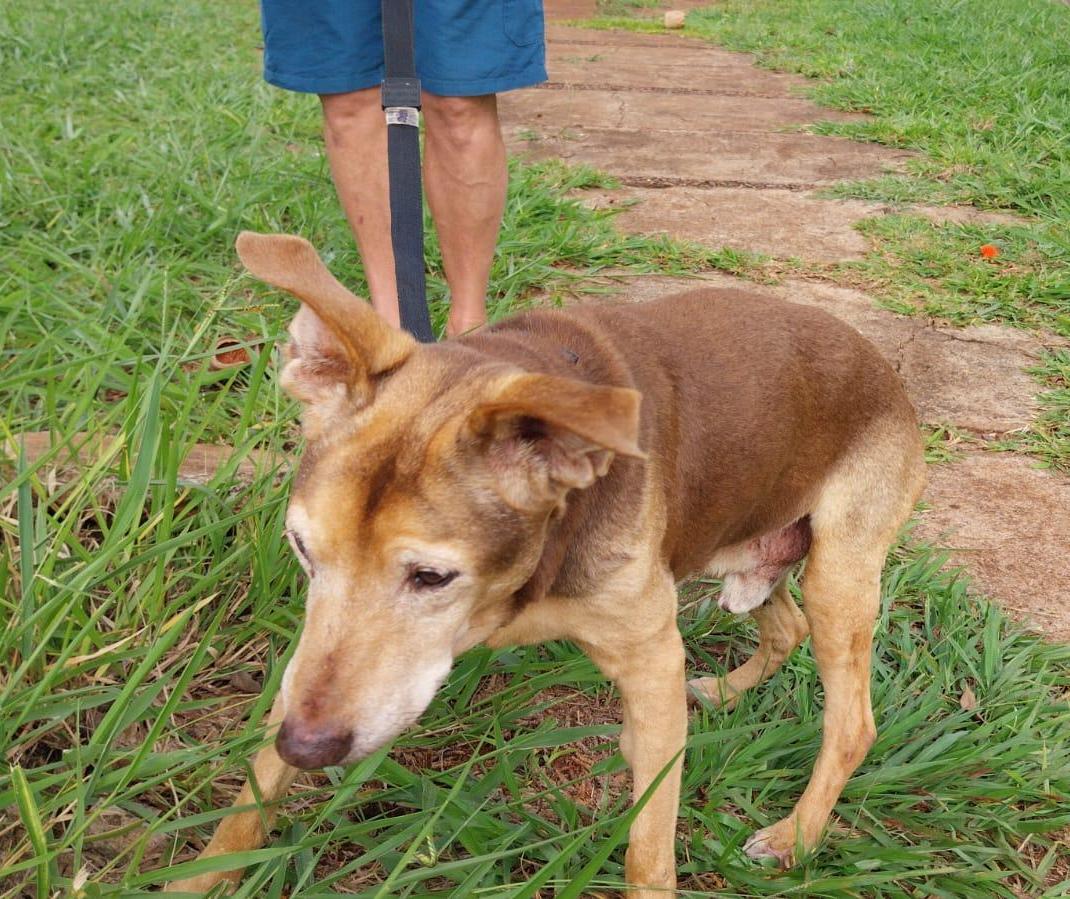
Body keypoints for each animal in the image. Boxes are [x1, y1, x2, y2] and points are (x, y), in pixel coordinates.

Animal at [162, 230, 924, 890]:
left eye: (432, 576)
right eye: (302, 549)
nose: (308, 748)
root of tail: (880, 364)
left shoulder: (649, 659)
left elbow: (648, 848)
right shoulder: (310, 667)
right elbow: (253, 789)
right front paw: (202, 874)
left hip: (837, 575)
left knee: (851, 723)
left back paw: (796, 836)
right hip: (740, 538)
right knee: (784, 625)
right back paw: (724, 692)